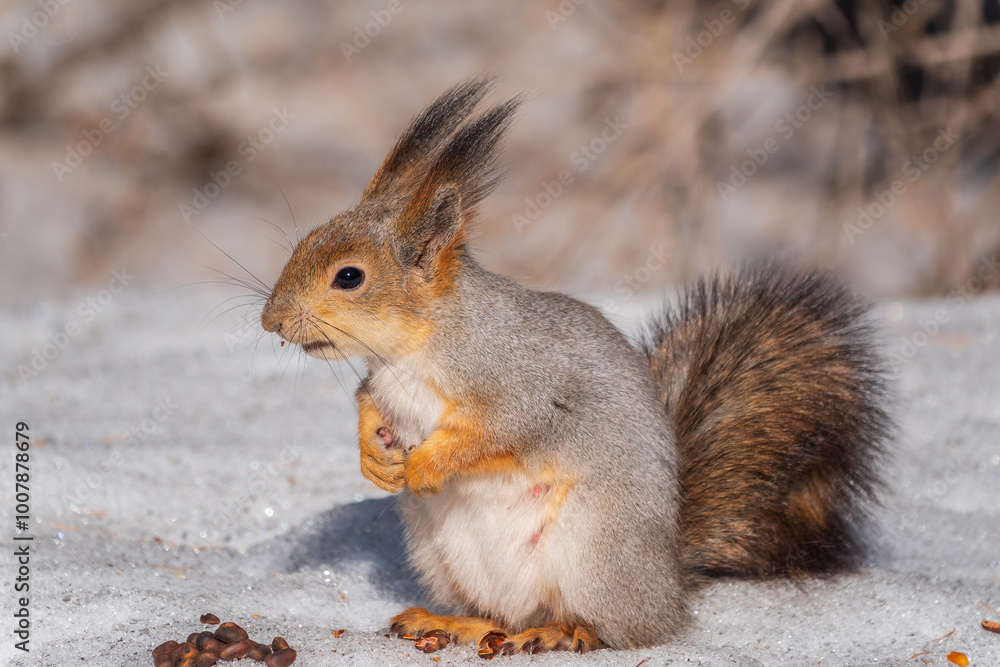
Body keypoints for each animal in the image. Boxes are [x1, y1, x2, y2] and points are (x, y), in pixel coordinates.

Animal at [259, 77, 892, 657]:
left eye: (349, 276)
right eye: (306, 240)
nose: (271, 320)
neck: (410, 352)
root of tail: (668, 586)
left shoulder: (520, 383)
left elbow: (496, 432)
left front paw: (422, 467)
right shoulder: (382, 386)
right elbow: (367, 405)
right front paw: (374, 458)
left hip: (591, 550)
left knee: (616, 630)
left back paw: (565, 632)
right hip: (445, 557)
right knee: (503, 617)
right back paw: (456, 623)